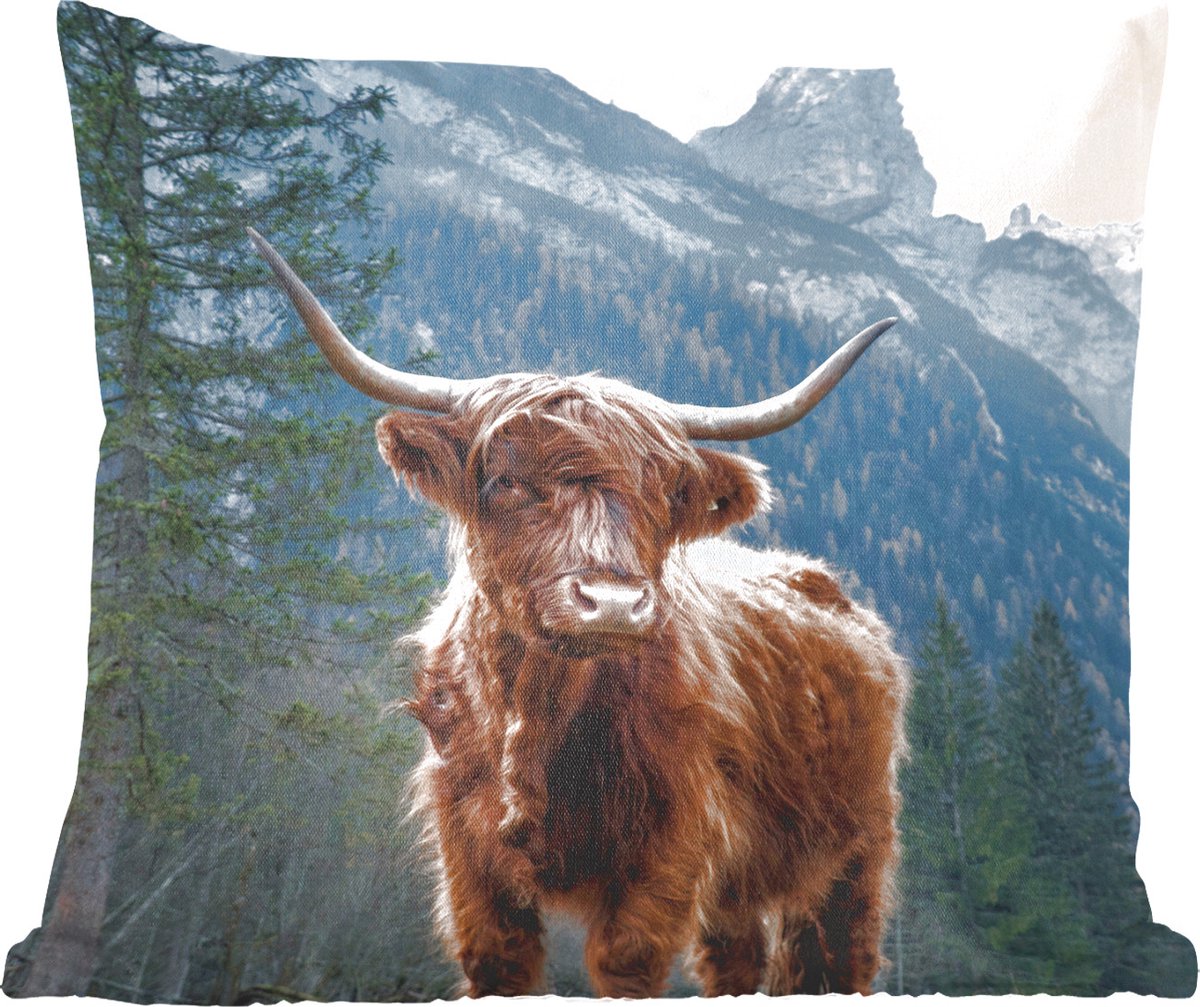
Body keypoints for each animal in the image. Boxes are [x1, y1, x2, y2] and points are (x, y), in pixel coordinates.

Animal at [249, 228, 908, 998]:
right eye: (508, 480)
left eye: (666, 492)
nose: (613, 602)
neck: (539, 716)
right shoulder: (468, 856)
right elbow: (497, 962)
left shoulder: (669, 850)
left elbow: (628, 963)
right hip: (742, 891)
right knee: (737, 959)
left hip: (853, 850)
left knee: (832, 956)